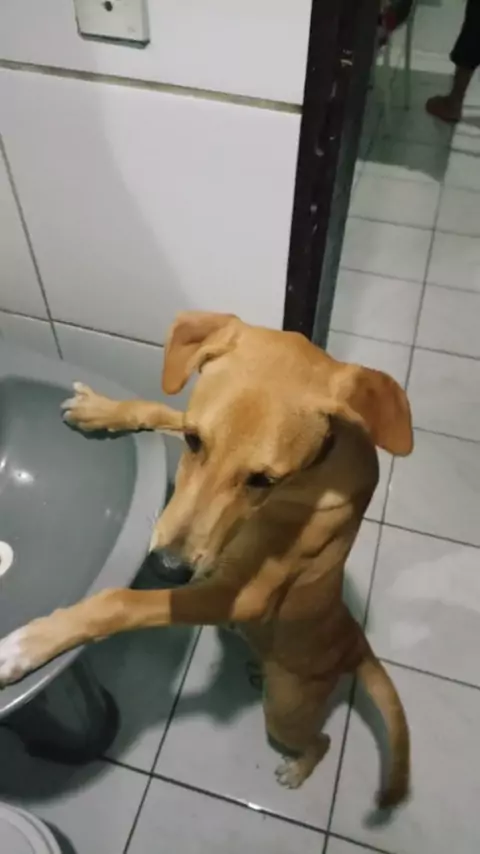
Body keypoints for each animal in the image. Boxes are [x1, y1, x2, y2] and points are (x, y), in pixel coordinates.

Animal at [0, 311, 412, 807]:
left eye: (264, 479)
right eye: (195, 442)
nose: (166, 567)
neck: (313, 474)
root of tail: (353, 639)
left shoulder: (239, 595)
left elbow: (121, 602)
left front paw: (31, 644)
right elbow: (162, 408)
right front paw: (104, 409)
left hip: (285, 710)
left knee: (321, 741)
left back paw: (298, 768)